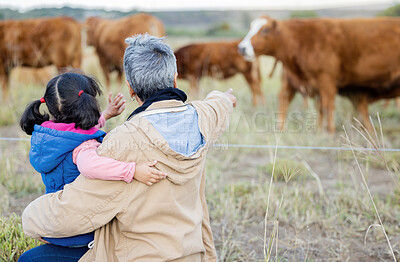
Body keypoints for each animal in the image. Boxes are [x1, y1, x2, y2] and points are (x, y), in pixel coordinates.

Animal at [239, 15, 400, 133]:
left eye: (265, 30)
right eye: (250, 28)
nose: (242, 47)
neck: (303, 40)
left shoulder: (326, 81)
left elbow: (327, 106)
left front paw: (329, 132)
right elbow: (321, 107)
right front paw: (319, 131)